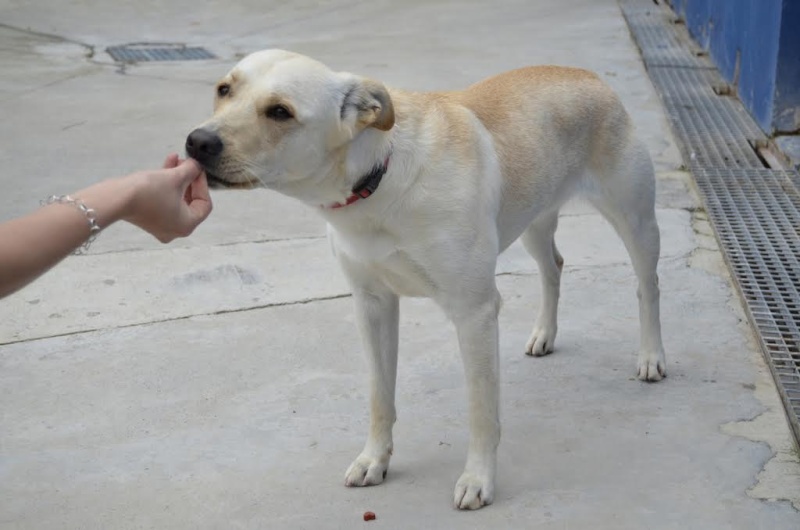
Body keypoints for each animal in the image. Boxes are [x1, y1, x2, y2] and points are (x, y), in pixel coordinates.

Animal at [184, 49, 664, 508]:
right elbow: (380, 397)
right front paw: (374, 460)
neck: (380, 175)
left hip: (635, 221)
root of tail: (586, 75)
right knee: (554, 267)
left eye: (280, 112)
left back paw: (651, 357)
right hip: (535, 219)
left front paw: (478, 480)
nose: (197, 141)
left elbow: (481, 411)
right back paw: (545, 333)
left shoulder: (474, 313)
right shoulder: (372, 305)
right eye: (224, 89)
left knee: (648, 286)